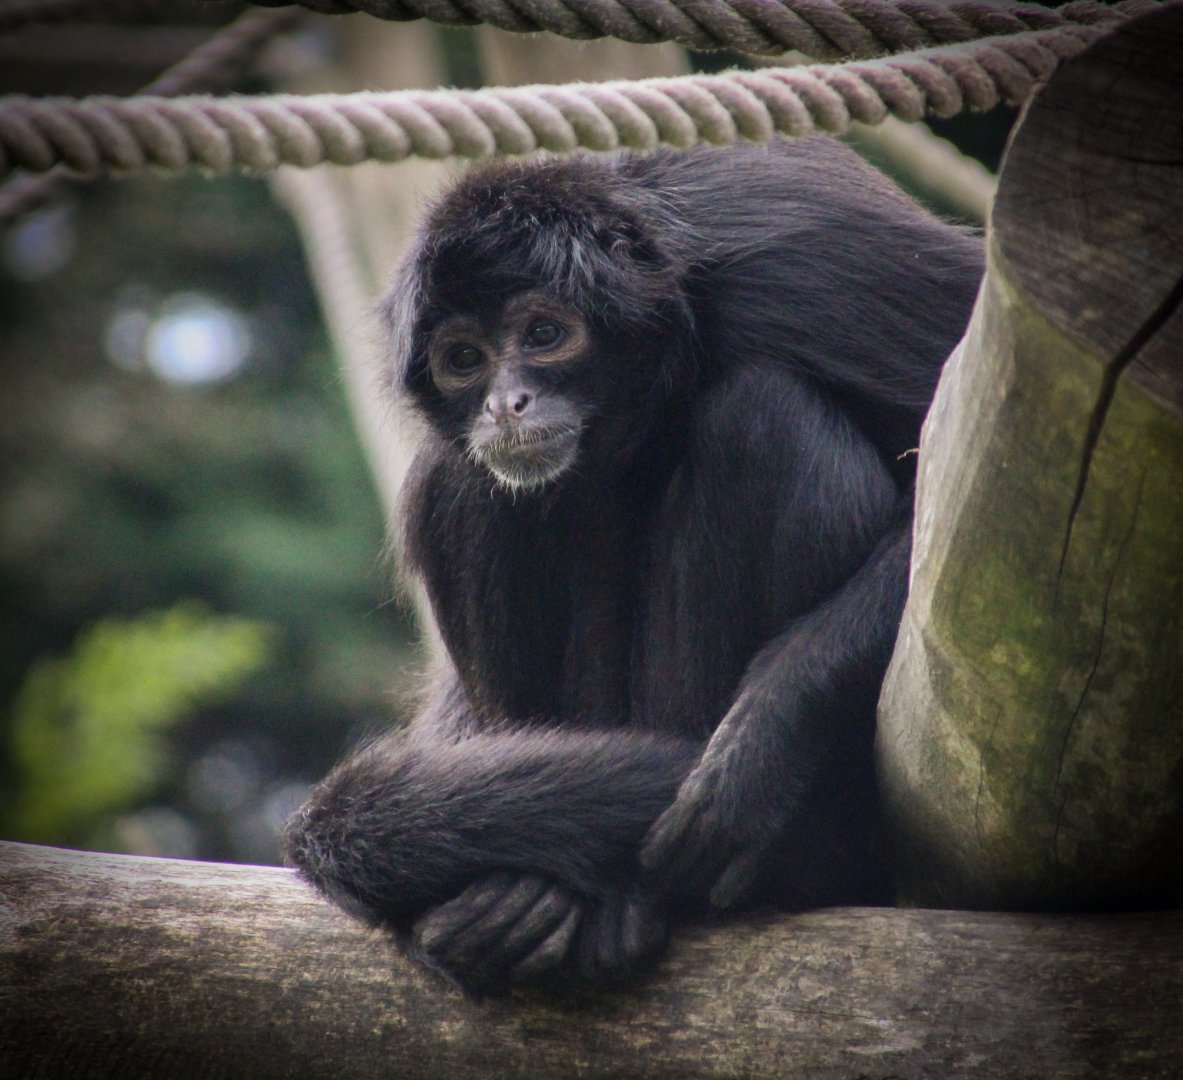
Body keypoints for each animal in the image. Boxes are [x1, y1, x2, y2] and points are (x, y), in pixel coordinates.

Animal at [284, 136, 983, 995]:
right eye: (463, 359)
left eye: (543, 334)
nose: (504, 404)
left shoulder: (805, 261)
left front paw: (760, 739)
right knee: (459, 482)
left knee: (758, 412)